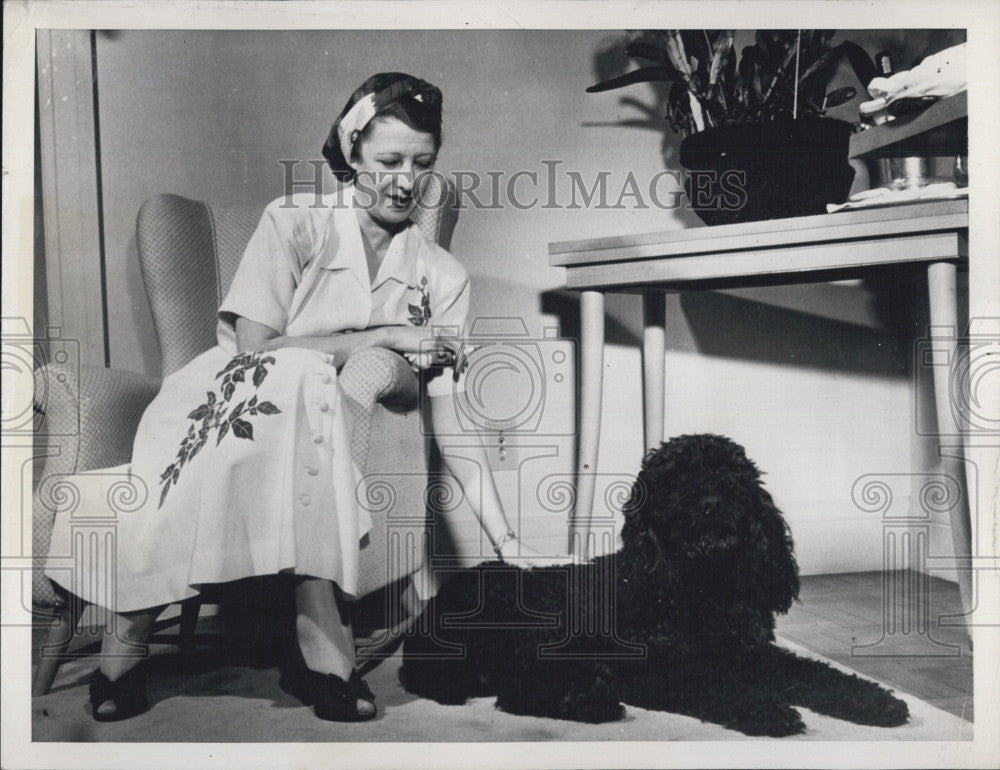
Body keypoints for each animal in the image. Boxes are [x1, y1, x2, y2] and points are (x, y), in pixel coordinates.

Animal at [402, 432, 912, 732]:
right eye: (677, 484)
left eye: (732, 478)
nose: (711, 504)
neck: (704, 587)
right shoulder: (656, 667)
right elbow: (714, 686)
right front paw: (766, 709)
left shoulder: (753, 653)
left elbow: (817, 674)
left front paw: (873, 701)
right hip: (537, 632)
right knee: (518, 692)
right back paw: (589, 701)